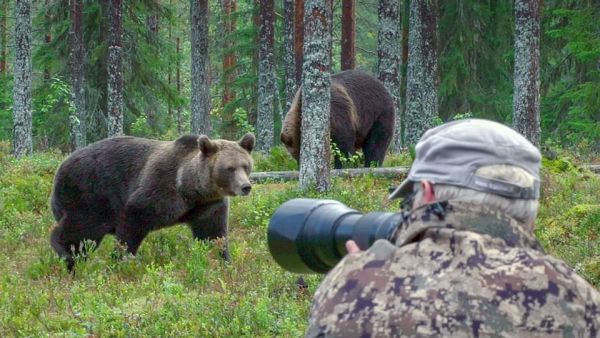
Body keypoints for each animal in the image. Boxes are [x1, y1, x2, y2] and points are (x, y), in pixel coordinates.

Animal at [47, 132, 253, 270]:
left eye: (246, 165)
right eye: (229, 168)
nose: (246, 186)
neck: (190, 189)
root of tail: (60, 166)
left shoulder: (208, 207)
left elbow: (213, 235)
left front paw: (224, 261)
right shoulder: (158, 191)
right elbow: (132, 224)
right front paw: (121, 260)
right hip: (90, 195)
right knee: (82, 229)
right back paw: (67, 256)